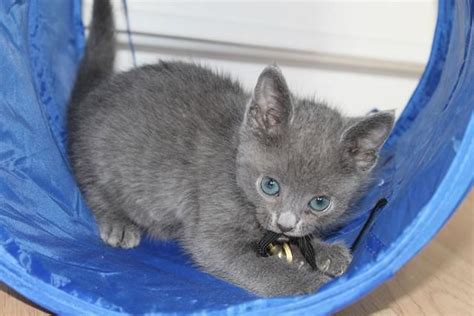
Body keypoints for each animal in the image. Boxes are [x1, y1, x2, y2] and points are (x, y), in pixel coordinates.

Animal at [68, 0, 394, 296]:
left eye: (319, 203)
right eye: (270, 185)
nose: (286, 224)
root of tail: (95, 95)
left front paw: (323, 251)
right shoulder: (212, 234)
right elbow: (263, 268)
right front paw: (315, 285)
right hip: (98, 158)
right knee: (90, 185)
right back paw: (118, 223)